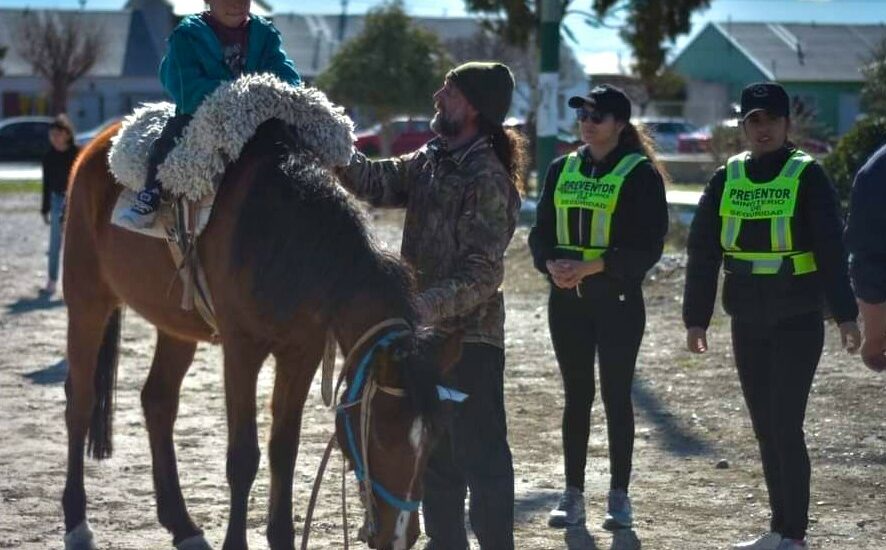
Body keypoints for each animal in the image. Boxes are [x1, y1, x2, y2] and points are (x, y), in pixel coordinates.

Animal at [62, 121, 458, 550]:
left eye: (435, 438)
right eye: (383, 436)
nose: (401, 535)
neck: (285, 234)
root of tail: (98, 143)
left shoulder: (302, 352)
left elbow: (283, 447)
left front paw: (282, 537)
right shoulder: (241, 350)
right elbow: (243, 455)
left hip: (175, 327)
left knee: (158, 401)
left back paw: (182, 525)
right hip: (86, 300)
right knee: (81, 401)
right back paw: (77, 522)